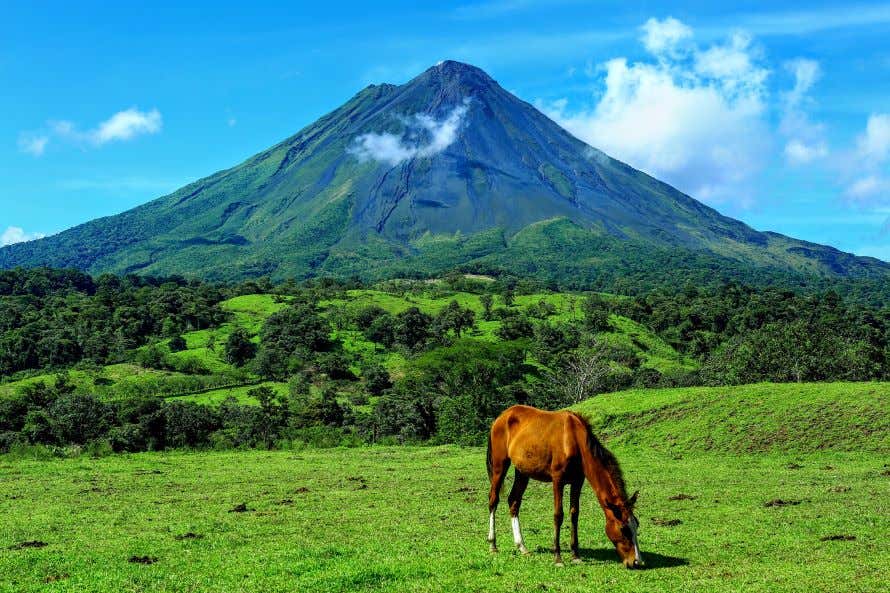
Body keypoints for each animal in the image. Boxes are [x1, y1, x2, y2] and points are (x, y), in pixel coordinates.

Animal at [486, 404, 640, 568]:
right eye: (623, 529)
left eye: (637, 524)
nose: (637, 561)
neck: (574, 440)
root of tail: (502, 416)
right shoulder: (557, 480)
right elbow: (558, 515)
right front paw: (558, 558)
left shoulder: (577, 481)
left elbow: (574, 514)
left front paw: (575, 555)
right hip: (499, 466)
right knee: (493, 500)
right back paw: (493, 545)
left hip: (522, 471)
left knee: (514, 501)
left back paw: (522, 547)